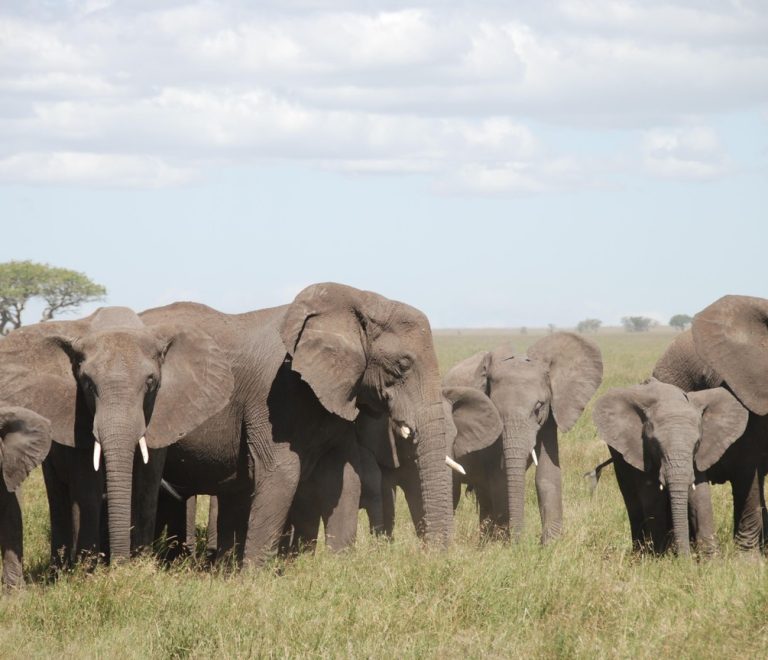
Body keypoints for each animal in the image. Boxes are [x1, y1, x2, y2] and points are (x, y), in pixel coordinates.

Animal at [0, 306, 234, 564]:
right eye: (87, 383)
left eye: (151, 382)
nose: (119, 562)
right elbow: (88, 487)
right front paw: (91, 567)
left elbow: (146, 485)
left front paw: (139, 564)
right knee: (58, 495)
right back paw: (60, 567)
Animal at [141, 282, 453, 566]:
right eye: (403, 365)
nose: (430, 559)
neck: (358, 300)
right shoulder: (274, 394)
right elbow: (282, 472)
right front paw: (254, 579)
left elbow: (344, 477)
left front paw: (338, 570)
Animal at [443, 333, 603, 543]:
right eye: (496, 409)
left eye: (538, 407)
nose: (520, 541)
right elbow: (500, 480)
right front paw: (506, 544)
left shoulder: (550, 418)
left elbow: (547, 474)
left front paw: (549, 544)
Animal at [592, 378, 748, 555]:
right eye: (655, 445)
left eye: (697, 444)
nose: (685, 558)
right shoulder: (642, 453)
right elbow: (653, 497)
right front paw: (660, 556)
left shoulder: (698, 456)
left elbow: (700, 496)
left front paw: (711, 557)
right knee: (632, 501)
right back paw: (640, 553)